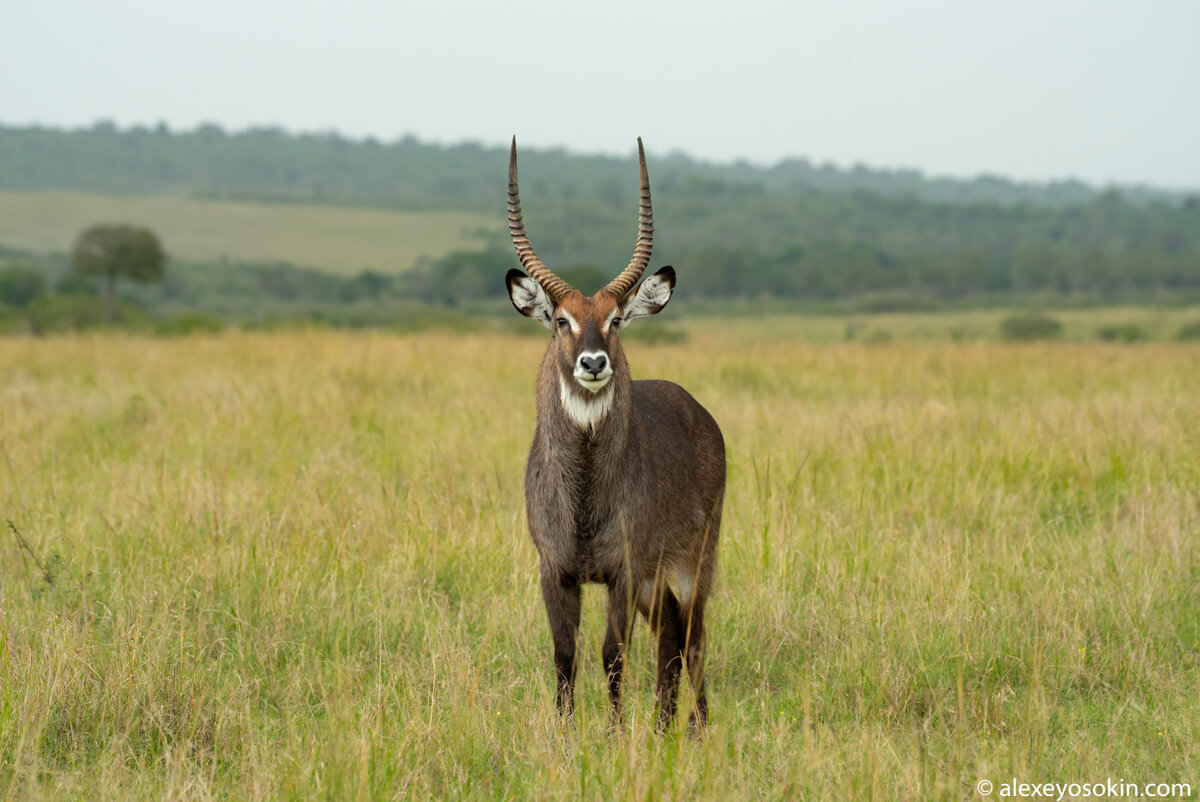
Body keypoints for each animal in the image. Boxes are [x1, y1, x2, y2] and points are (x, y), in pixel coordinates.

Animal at [504, 138, 724, 734]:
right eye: (561, 319)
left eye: (617, 319)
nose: (593, 362)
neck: (583, 495)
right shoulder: (554, 569)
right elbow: (565, 653)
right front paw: (565, 734)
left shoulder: (623, 571)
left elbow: (611, 653)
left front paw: (614, 732)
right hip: (656, 578)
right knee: (670, 633)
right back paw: (665, 724)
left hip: (695, 560)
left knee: (693, 635)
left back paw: (695, 725)